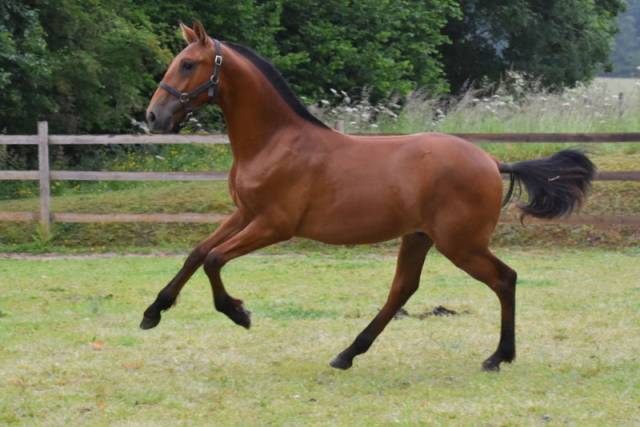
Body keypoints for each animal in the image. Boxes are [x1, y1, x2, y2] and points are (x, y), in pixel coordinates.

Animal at [142, 21, 595, 372]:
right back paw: (347, 353)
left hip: (460, 243)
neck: (275, 142)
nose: (153, 116)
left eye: (188, 64)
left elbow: (215, 259)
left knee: (504, 279)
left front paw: (239, 313)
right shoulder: (244, 214)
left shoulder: (273, 225)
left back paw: (498, 356)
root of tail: (492, 161)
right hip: (419, 238)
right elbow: (198, 253)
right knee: (403, 291)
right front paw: (153, 312)